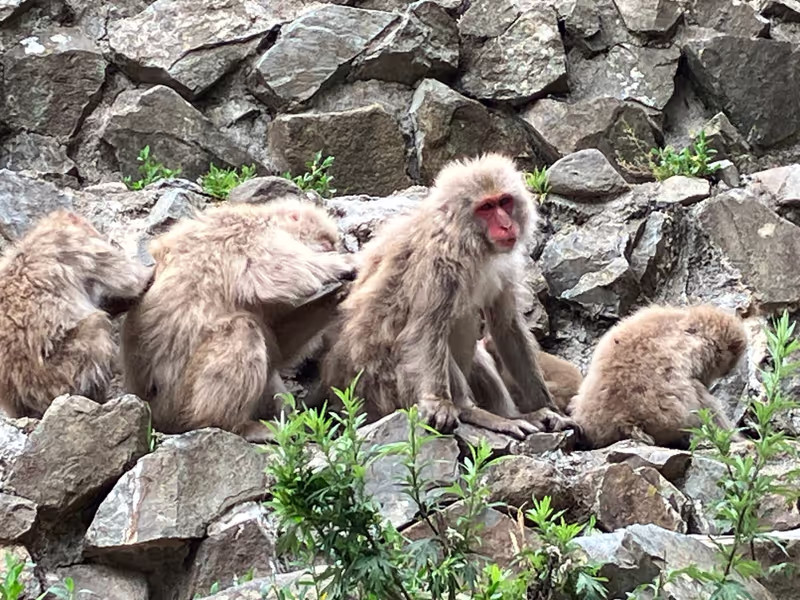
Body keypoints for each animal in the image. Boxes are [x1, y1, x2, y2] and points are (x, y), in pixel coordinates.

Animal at [120, 199, 357, 442]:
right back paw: (231, 425)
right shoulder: (248, 233)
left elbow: (279, 348)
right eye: (327, 243)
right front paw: (342, 264)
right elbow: (276, 271)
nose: (335, 249)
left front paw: (339, 295)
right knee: (242, 328)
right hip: (177, 402)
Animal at [318, 153, 575, 439]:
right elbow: (424, 330)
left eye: (504, 202)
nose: (507, 226)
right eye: (486, 207)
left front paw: (547, 406)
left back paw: (511, 415)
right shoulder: (437, 260)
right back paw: (471, 412)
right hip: (391, 388)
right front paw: (440, 404)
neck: (468, 240)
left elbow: (506, 327)